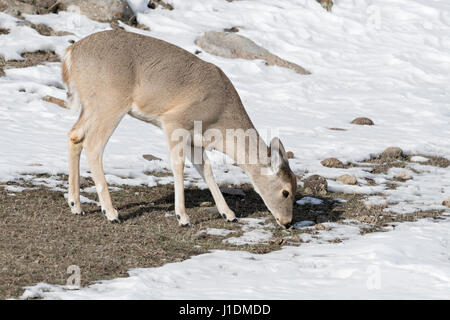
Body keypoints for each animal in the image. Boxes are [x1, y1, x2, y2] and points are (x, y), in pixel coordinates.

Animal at [62, 30, 296, 229]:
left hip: (91, 106)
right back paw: (111, 212)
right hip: (110, 101)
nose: (287, 223)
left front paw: (228, 213)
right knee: (93, 145)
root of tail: (70, 54)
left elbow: (207, 170)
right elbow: (178, 166)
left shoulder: (196, 141)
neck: (221, 119)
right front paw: (182, 217)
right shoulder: (174, 122)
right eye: (286, 192)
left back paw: (76, 206)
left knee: (75, 135)